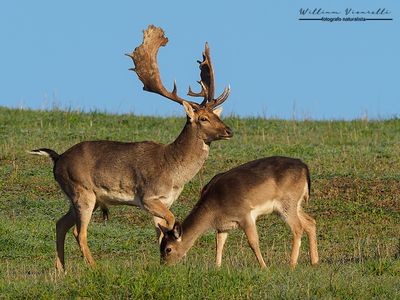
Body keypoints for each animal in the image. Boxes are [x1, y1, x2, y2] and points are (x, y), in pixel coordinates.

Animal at [29, 25, 233, 272]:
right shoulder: (148, 196)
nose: (229, 130)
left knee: (60, 223)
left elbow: (160, 231)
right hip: (81, 191)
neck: (173, 171)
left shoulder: (165, 200)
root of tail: (57, 159)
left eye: (216, 115)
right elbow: (171, 222)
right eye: (203, 118)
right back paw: (94, 267)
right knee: (79, 232)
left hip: (81, 197)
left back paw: (61, 269)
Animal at [159, 156, 318, 268]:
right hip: (294, 205)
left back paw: (292, 264)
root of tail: (305, 168)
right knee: (310, 222)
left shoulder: (245, 215)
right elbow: (219, 243)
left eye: (168, 249)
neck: (214, 210)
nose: (163, 266)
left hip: (287, 203)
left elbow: (253, 242)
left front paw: (264, 267)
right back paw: (314, 261)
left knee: (298, 228)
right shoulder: (223, 226)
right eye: (159, 246)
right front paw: (217, 267)